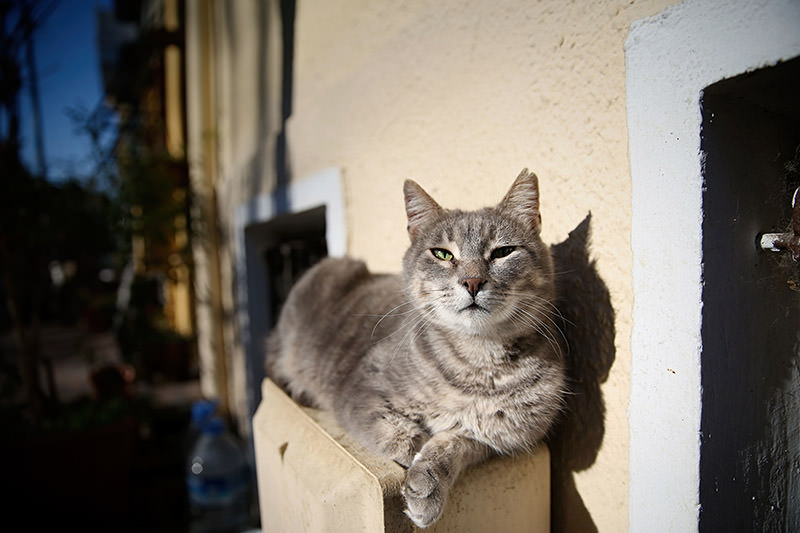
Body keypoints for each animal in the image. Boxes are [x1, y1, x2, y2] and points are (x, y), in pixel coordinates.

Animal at [268, 168, 568, 524]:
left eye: (502, 252)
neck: (478, 363)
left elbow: (451, 445)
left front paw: (427, 483)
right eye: (443, 254)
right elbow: (395, 432)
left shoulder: (494, 438)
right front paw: (414, 450)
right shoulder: (359, 389)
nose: (472, 281)